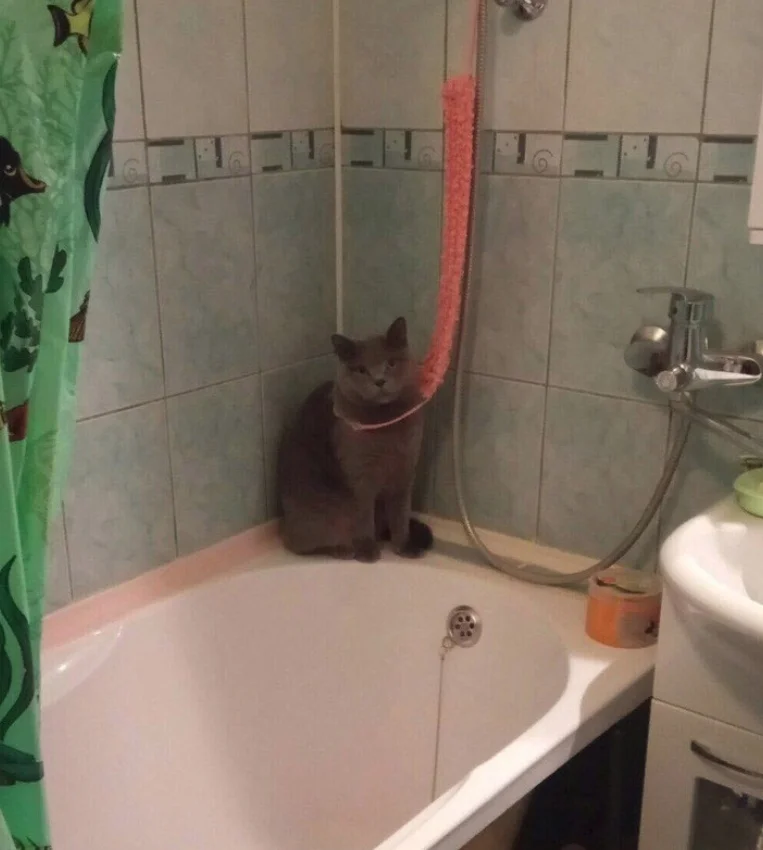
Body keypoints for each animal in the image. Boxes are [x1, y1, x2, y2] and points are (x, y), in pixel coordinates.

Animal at [277, 316, 433, 562]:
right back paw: (344, 549)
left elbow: (400, 515)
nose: (379, 380)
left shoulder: (405, 470)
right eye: (361, 369)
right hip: (318, 517)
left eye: (391, 363)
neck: (388, 427)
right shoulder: (360, 478)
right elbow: (363, 517)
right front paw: (368, 550)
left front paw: (404, 546)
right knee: (306, 543)